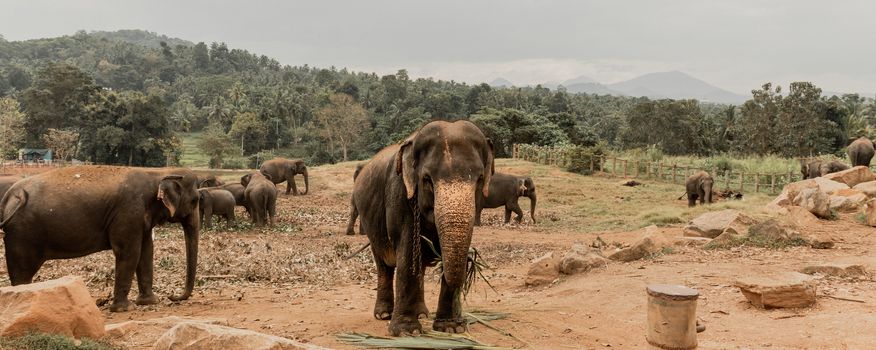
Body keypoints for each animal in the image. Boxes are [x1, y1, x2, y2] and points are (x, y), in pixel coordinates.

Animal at [354, 120, 492, 336]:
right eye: (427, 179)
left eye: (479, 179)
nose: (472, 262)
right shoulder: (399, 193)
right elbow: (408, 250)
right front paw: (406, 332)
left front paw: (451, 328)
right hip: (370, 225)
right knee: (384, 264)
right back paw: (384, 314)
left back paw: (421, 314)